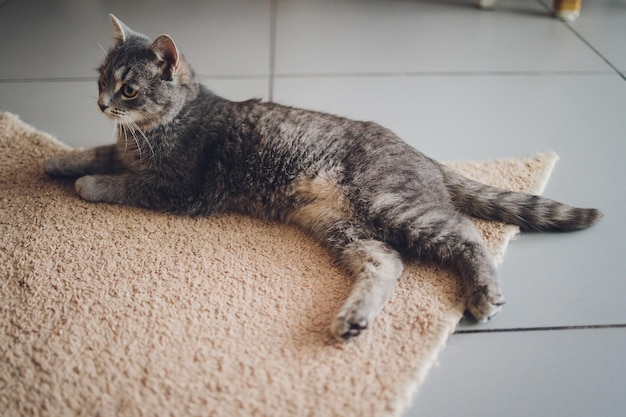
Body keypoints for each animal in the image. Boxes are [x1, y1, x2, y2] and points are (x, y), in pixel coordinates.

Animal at [42, 15, 600, 342]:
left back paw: (483, 292)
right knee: (387, 261)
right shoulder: (126, 152)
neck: (156, 129)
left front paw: (86, 184)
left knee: (465, 234)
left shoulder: (179, 189)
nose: (102, 104)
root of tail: (424, 155)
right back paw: (354, 318)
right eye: (100, 78)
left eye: (129, 89)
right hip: (345, 227)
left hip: (390, 203)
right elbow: (95, 152)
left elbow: (120, 182)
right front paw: (56, 162)